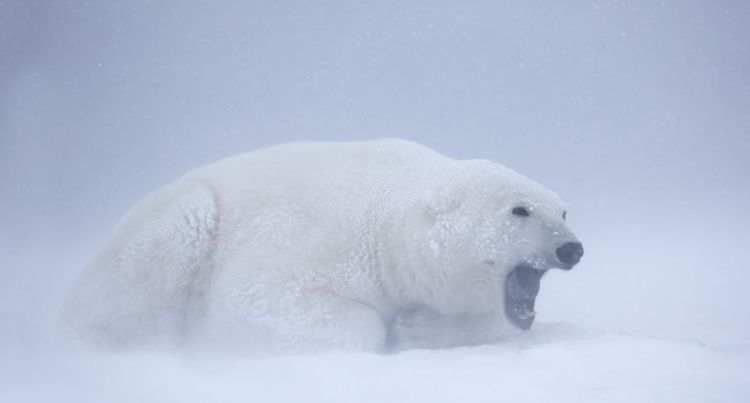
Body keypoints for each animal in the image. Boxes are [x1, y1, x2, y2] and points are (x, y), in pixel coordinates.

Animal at [63, 139, 580, 354]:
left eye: (562, 211)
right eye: (520, 210)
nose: (571, 249)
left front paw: (419, 327)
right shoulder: (325, 240)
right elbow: (250, 296)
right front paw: (389, 332)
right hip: (174, 227)